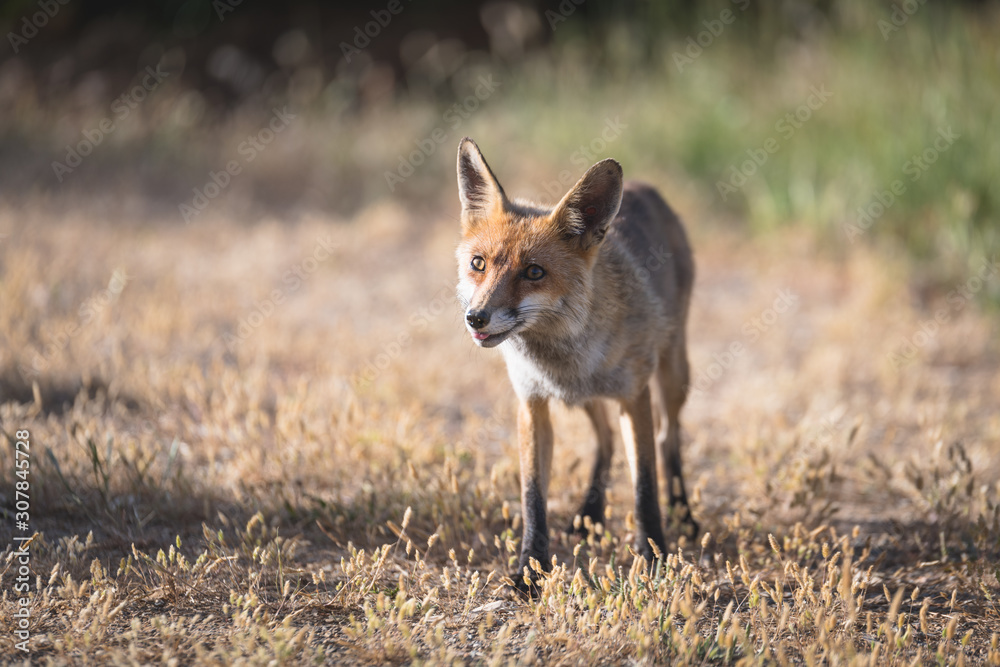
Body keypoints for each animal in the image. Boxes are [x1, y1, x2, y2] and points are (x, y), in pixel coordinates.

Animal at [455, 137, 697, 592]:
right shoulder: (532, 402)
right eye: (479, 263)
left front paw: (654, 557)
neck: (564, 358)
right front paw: (531, 568)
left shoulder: (634, 395)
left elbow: (644, 487)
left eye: (534, 272)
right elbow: (533, 496)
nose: (476, 318)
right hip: (586, 399)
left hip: (673, 373)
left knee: (668, 438)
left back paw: (683, 514)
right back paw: (590, 512)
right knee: (607, 440)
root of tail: (643, 186)